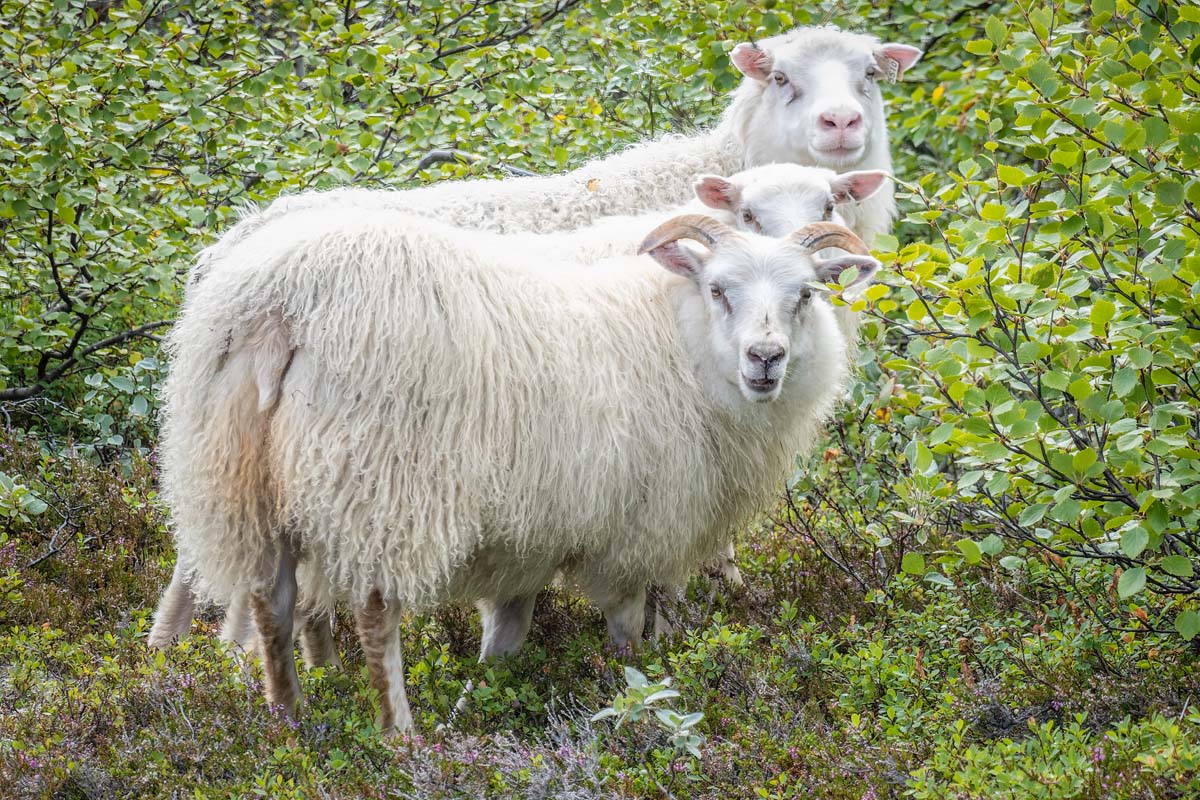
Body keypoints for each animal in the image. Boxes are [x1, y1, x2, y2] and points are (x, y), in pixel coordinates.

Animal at [158, 205, 879, 730]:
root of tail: (283, 305)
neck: (677, 337)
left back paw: (292, 724)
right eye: (718, 289)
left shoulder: (528, 537)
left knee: (272, 602)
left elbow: (507, 636)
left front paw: (478, 705)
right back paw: (400, 737)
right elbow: (627, 636)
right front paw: (630, 697)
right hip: (386, 479)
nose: (766, 358)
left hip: (240, 475)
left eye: (805, 295)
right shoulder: (632, 534)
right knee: (375, 612)